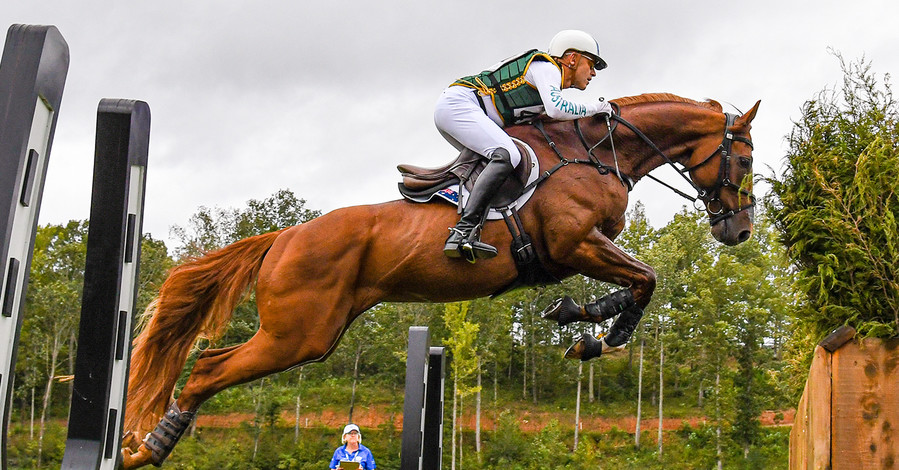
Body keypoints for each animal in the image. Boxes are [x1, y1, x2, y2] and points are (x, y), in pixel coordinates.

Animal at [119, 92, 760, 466]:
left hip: (314, 334)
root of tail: (284, 236)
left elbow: (638, 281)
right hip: (296, 334)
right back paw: (145, 449)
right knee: (207, 368)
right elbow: (647, 279)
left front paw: (581, 320)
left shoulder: (581, 251)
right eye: (747, 159)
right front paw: (598, 335)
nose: (740, 231)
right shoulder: (574, 244)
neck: (595, 152)